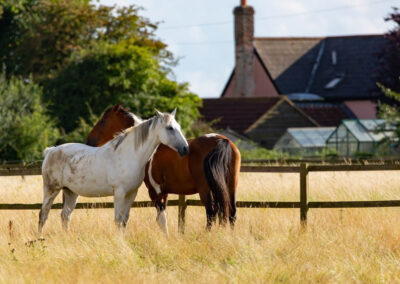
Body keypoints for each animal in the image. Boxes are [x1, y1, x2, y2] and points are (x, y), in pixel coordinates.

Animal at [38, 108, 188, 233]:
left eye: (179, 127)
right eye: (170, 128)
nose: (185, 149)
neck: (130, 155)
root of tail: (50, 151)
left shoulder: (131, 193)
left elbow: (124, 220)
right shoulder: (119, 193)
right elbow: (118, 220)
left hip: (71, 192)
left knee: (65, 216)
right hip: (51, 189)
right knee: (43, 214)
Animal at [86, 104, 241, 233]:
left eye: (103, 121)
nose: (89, 141)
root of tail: (222, 140)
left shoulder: (155, 191)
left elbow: (161, 219)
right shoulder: (164, 192)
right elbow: (162, 218)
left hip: (205, 189)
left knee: (211, 213)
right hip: (230, 186)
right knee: (231, 213)